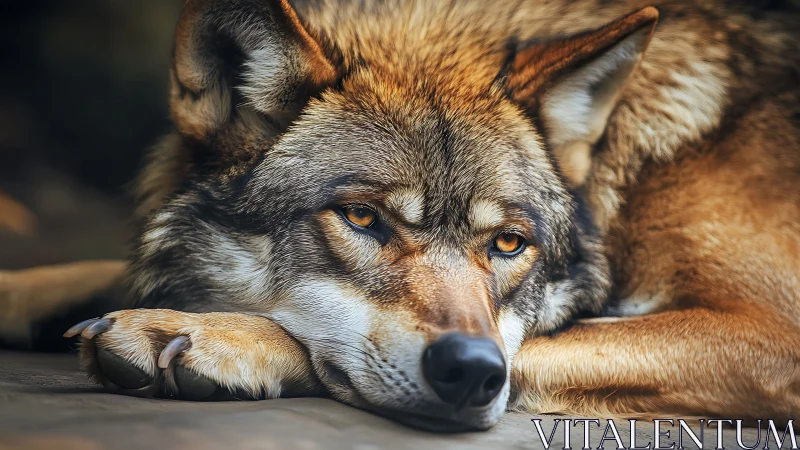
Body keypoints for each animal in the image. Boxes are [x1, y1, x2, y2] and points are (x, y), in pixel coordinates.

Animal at [42, 0, 800, 431]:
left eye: (509, 244)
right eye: (360, 217)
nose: (469, 370)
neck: (632, 178)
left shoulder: (771, 333)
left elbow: (536, 347)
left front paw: (206, 335)